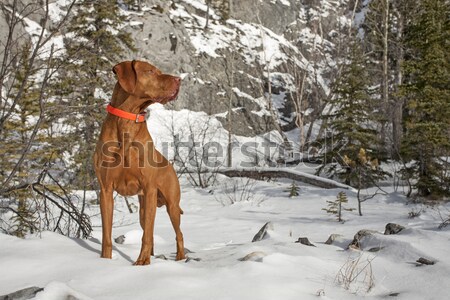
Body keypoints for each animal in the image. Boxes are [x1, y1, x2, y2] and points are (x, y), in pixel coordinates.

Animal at [94, 59, 185, 264]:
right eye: (150, 71)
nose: (179, 79)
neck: (126, 123)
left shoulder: (149, 188)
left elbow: (148, 235)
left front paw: (142, 263)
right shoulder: (105, 190)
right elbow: (106, 234)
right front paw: (105, 261)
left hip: (172, 205)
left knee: (178, 234)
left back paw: (181, 258)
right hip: (143, 210)